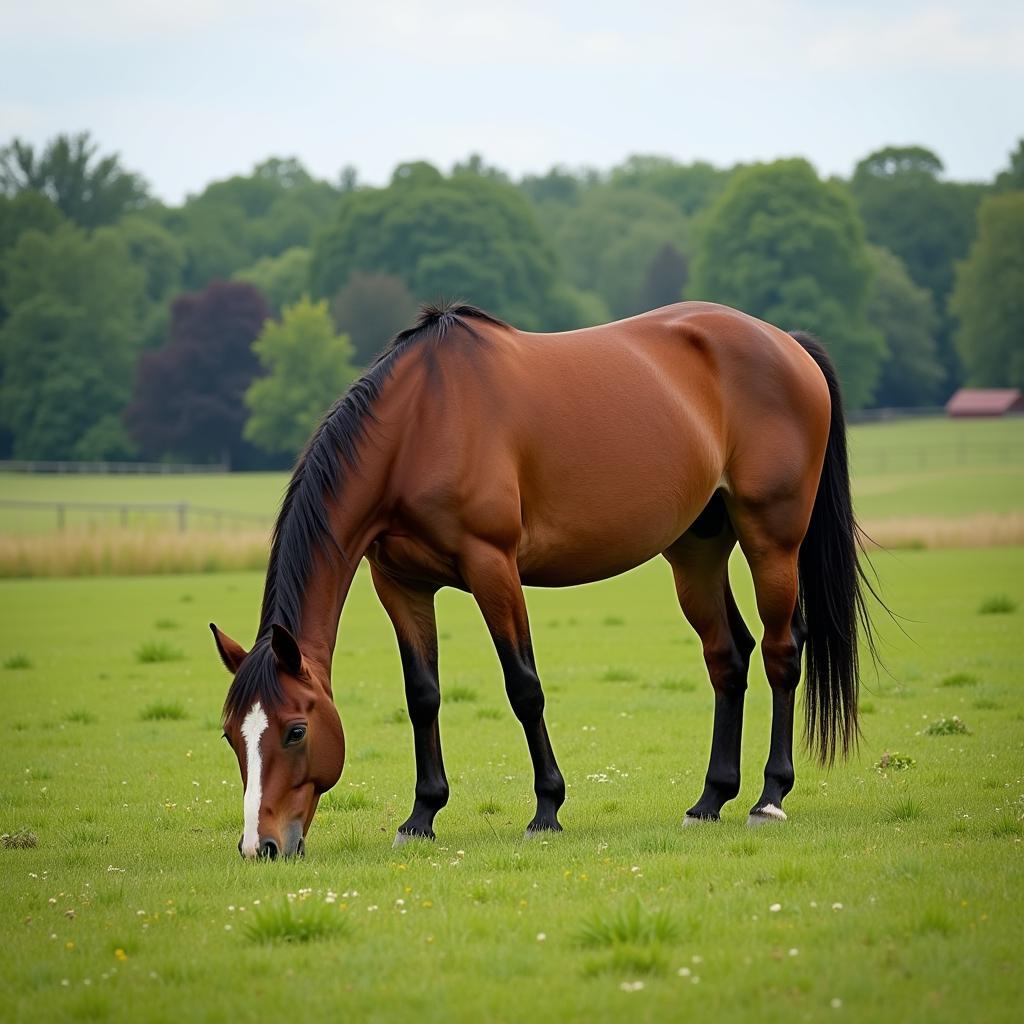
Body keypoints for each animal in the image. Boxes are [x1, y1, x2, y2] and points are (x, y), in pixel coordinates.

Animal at [211, 299, 876, 860]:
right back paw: (710, 799)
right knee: (728, 656)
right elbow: (422, 694)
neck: (420, 423)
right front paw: (421, 816)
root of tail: (785, 342)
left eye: (296, 730)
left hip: (772, 540)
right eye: (231, 737)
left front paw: (546, 810)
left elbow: (523, 686)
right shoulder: (399, 584)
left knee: (782, 652)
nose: (261, 846)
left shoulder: (492, 566)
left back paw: (769, 797)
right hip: (696, 550)